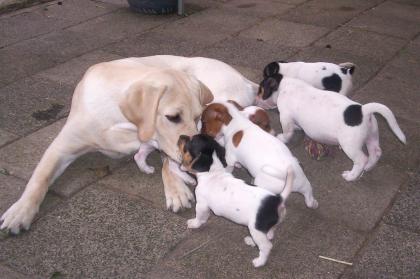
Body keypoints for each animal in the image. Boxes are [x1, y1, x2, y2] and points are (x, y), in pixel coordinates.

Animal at [0, 54, 258, 234]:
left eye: (196, 117)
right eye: (173, 117)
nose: (196, 148)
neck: (121, 123)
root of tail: (246, 79)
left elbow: (166, 161)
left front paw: (176, 190)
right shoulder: (62, 146)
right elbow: (39, 177)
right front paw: (19, 211)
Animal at [177, 135, 292, 270]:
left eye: (188, 144)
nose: (181, 136)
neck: (213, 172)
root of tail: (278, 199)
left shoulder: (201, 205)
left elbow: (199, 218)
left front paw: (194, 223)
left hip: (255, 229)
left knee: (267, 246)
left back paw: (259, 262)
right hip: (262, 229)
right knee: (270, 234)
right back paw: (251, 241)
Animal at [258, 63, 406, 182]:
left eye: (260, 89)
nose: (256, 99)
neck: (284, 84)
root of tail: (363, 111)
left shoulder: (285, 118)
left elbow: (287, 132)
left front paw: (282, 138)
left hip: (350, 146)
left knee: (361, 159)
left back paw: (351, 176)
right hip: (372, 136)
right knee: (376, 152)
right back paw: (369, 166)